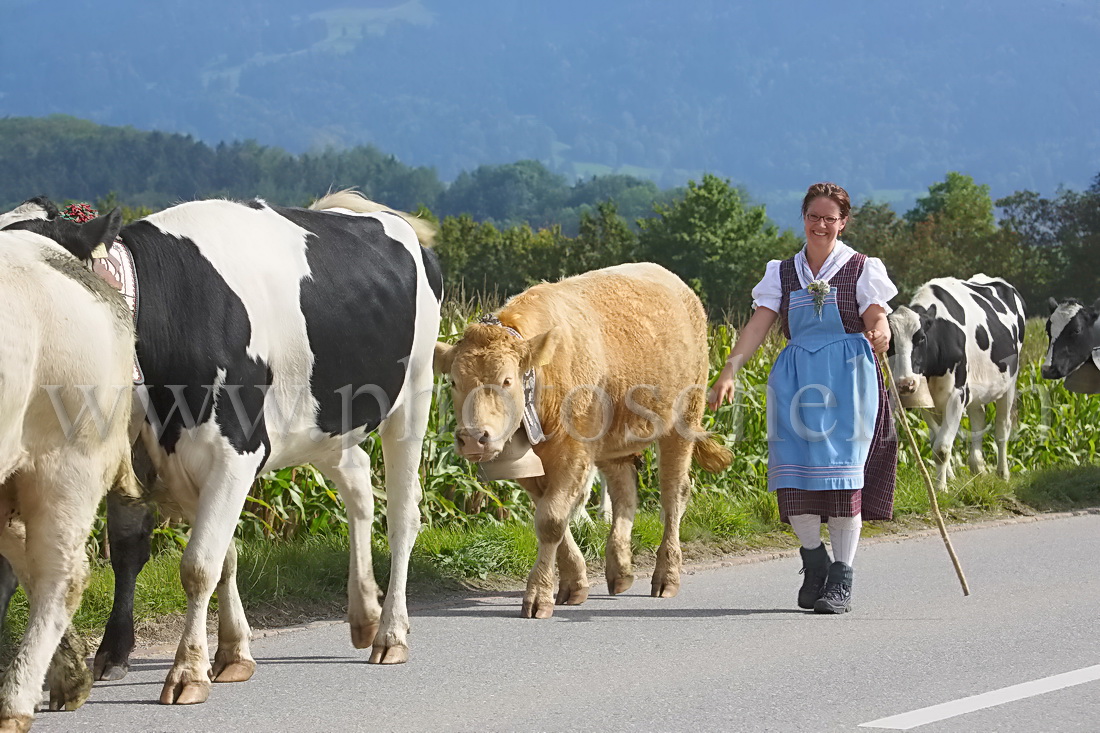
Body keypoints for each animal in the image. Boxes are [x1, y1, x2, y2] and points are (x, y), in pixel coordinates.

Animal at [5, 191, 442, 704]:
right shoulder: (161, 460)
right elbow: (207, 557)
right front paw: (229, 653)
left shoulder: (237, 452)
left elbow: (198, 565)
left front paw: (188, 672)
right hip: (322, 425)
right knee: (358, 485)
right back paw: (364, 614)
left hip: (413, 400)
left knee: (403, 516)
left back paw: (391, 634)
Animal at [431, 263, 730, 616]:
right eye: (453, 381)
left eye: (506, 380)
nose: (474, 438)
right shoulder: (531, 468)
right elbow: (552, 515)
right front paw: (573, 582)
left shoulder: (573, 453)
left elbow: (552, 519)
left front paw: (539, 594)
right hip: (614, 439)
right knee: (624, 492)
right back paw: (620, 569)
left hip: (683, 420)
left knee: (674, 494)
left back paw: (666, 575)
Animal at [880, 274, 1025, 490]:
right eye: (889, 343)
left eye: (921, 338)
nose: (906, 383)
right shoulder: (927, 400)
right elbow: (937, 438)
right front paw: (950, 478)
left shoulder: (957, 395)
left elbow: (941, 448)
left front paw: (941, 488)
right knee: (978, 420)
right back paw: (977, 467)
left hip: (1009, 384)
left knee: (1002, 428)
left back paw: (1003, 472)